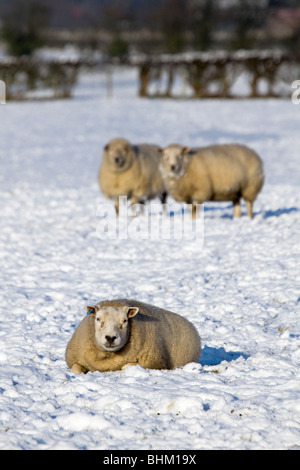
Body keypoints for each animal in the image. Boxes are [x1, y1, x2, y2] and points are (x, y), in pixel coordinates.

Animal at [65, 298, 202, 374]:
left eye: (125, 320)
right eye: (98, 319)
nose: (110, 338)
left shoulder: (153, 363)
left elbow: (126, 366)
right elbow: (75, 369)